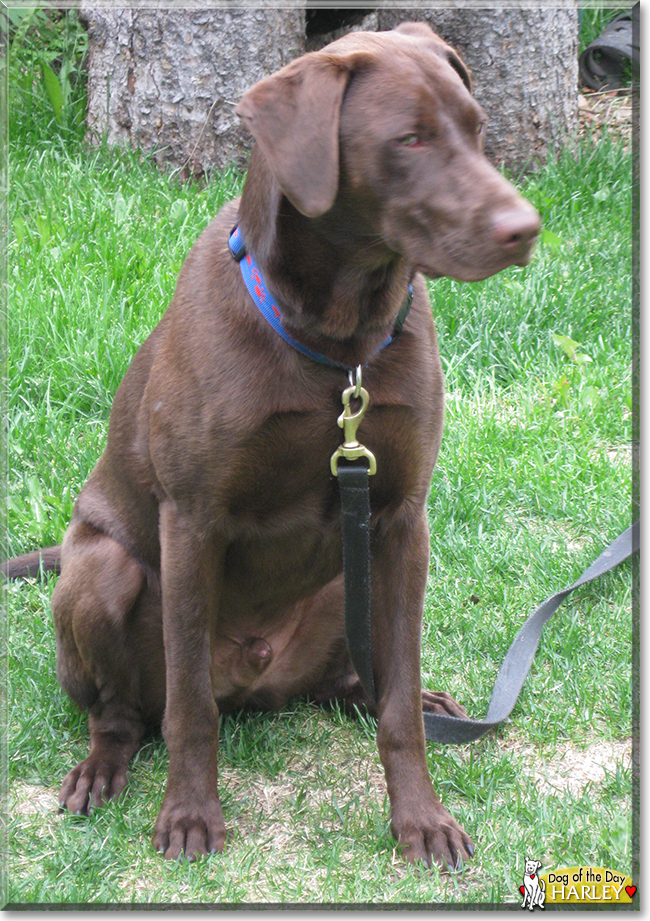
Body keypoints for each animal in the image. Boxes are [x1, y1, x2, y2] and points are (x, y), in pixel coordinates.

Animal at [3, 23, 536, 868]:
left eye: (478, 130)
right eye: (410, 139)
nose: (526, 229)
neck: (339, 344)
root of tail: (253, 680)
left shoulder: (400, 519)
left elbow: (397, 711)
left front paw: (421, 818)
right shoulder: (191, 519)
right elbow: (190, 708)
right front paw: (190, 814)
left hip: (350, 574)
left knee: (364, 683)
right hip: (101, 569)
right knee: (126, 712)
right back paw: (101, 767)